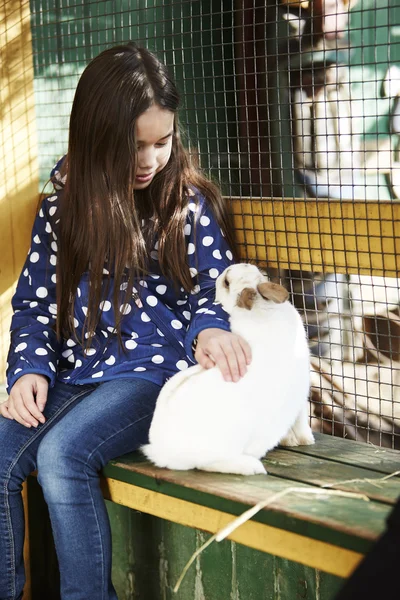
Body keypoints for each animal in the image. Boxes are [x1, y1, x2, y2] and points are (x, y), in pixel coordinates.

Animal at [142, 262, 314, 474]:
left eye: (226, 282)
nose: (236, 265)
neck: (260, 311)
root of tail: (163, 451)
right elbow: (301, 419)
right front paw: (304, 439)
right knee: (209, 464)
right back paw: (252, 467)